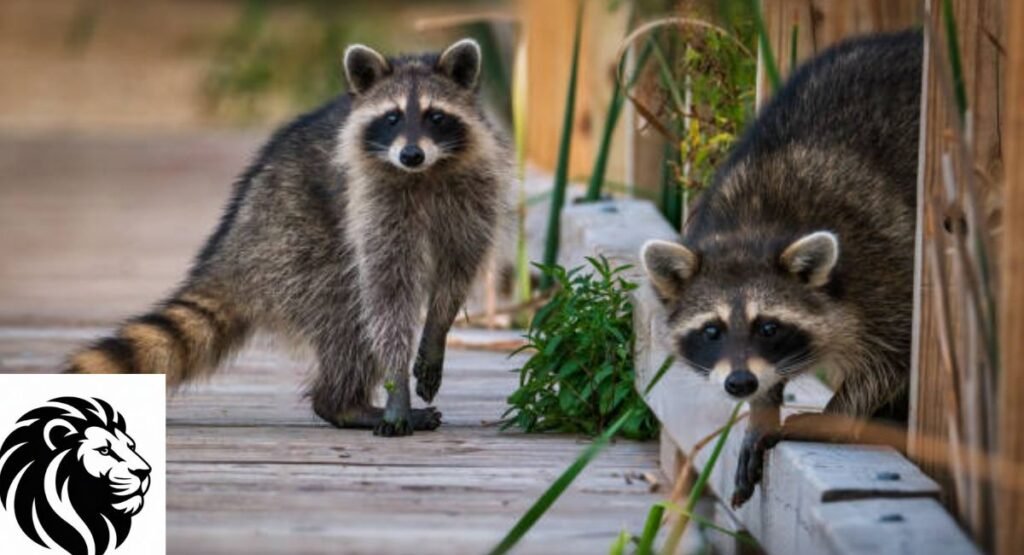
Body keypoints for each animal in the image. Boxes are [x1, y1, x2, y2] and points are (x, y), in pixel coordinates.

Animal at [66, 39, 511, 437]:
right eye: (392, 117)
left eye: (436, 116)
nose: (411, 155)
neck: (425, 173)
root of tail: (232, 248)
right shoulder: (372, 201)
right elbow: (388, 295)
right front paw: (396, 383)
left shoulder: (476, 191)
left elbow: (457, 271)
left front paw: (435, 333)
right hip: (297, 243)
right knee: (347, 317)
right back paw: (343, 404)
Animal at [640, 30, 922, 505]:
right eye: (712, 330)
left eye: (768, 327)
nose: (740, 384)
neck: (755, 226)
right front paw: (763, 407)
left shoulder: (883, 269)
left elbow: (890, 360)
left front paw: (835, 415)